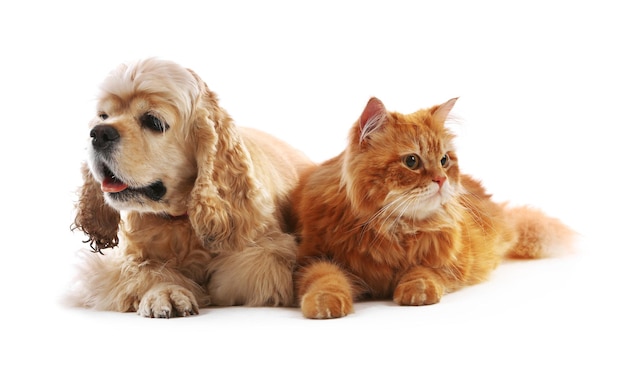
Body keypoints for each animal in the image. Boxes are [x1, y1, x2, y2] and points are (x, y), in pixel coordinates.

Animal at [69, 57, 312, 316]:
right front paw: (167, 291)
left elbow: (236, 274)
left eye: (153, 121)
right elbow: (144, 271)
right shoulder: (117, 263)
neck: (178, 221)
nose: (98, 133)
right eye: (103, 116)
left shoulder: (272, 252)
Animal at [292, 96, 572, 318]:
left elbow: (423, 271)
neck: (394, 228)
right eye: (411, 161)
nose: (441, 179)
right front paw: (325, 303)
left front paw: (416, 291)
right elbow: (326, 278)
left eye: (444, 160)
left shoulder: (450, 260)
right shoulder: (314, 257)